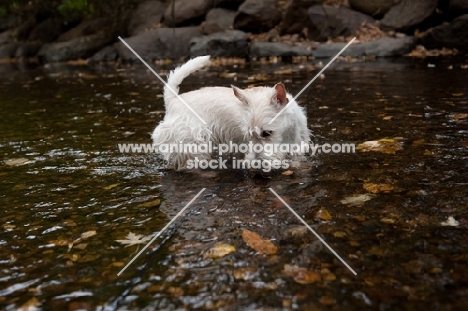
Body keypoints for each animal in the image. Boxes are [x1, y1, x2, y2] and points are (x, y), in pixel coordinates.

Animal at [151, 55, 310, 168]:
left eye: (266, 133)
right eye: (249, 135)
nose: (255, 163)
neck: (288, 135)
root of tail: (173, 100)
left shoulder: (299, 146)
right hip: (193, 144)